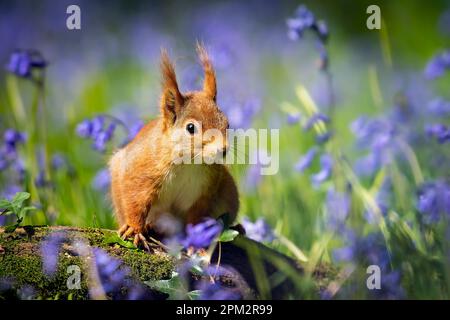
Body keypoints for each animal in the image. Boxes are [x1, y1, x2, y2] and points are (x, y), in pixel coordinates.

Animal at [108, 44, 239, 250]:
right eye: (191, 128)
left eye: (227, 123)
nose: (223, 149)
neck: (188, 162)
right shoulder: (139, 173)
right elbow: (135, 202)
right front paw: (135, 229)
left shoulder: (202, 193)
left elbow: (196, 218)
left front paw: (197, 241)